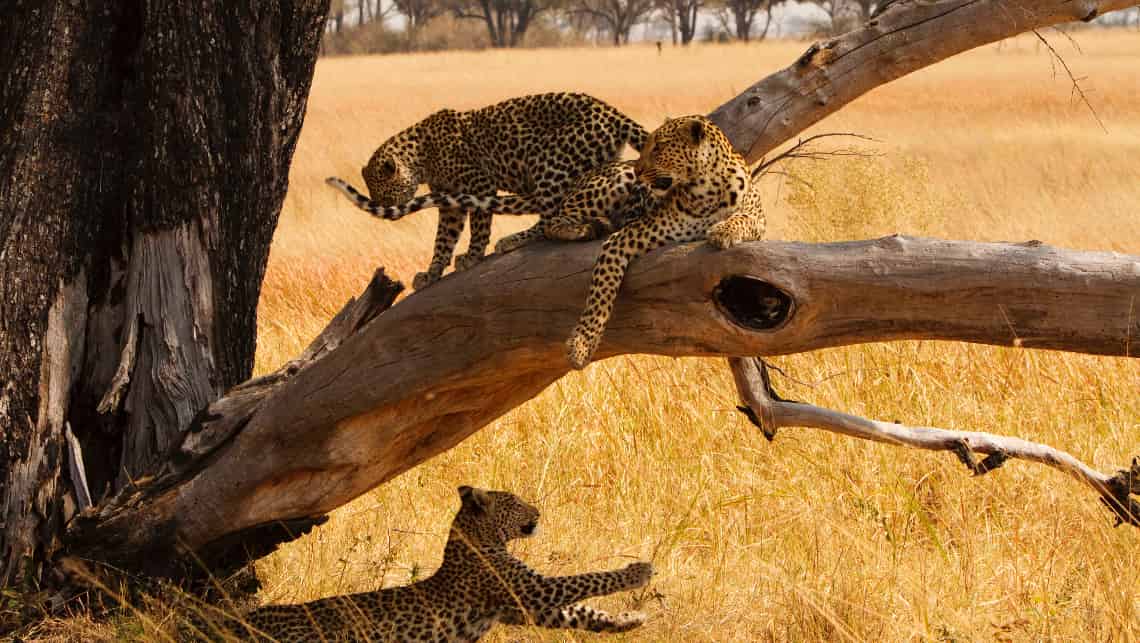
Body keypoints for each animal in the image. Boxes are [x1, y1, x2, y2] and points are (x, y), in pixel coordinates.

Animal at [182, 487, 656, 643]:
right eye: (515, 502)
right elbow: (585, 580)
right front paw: (638, 572)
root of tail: (243, 619)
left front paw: (629, 620)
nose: (538, 511)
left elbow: (582, 612)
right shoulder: (528, 591)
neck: (479, 540)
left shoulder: (522, 605)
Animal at [563, 113, 766, 369]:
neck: (707, 190)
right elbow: (601, 290)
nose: (638, 170)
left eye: (659, 147)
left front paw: (723, 231)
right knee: (554, 218)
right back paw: (584, 228)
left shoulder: (759, 219)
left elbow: (743, 218)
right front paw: (581, 345)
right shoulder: (624, 238)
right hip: (614, 183)